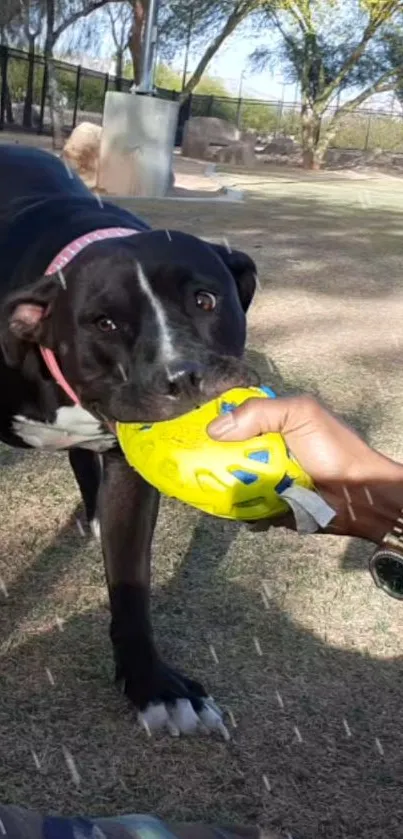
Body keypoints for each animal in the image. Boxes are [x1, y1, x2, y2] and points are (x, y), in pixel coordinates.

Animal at [0, 144, 258, 736]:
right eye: (105, 323)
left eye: (205, 301)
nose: (183, 377)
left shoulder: (129, 471)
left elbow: (130, 583)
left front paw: (153, 686)